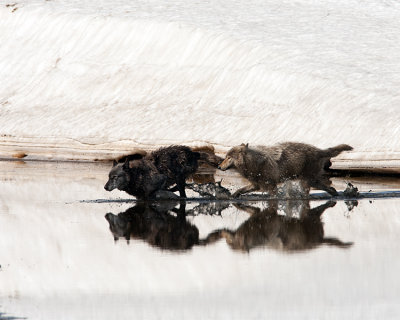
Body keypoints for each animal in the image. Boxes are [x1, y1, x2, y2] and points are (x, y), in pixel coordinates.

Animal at [219, 142, 354, 198]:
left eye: (228, 158)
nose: (219, 167)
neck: (255, 162)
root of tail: (318, 150)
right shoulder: (256, 185)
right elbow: (240, 190)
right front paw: (232, 197)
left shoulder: (271, 185)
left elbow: (274, 197)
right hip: (309, 181)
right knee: (330, 189)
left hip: (307, 181)